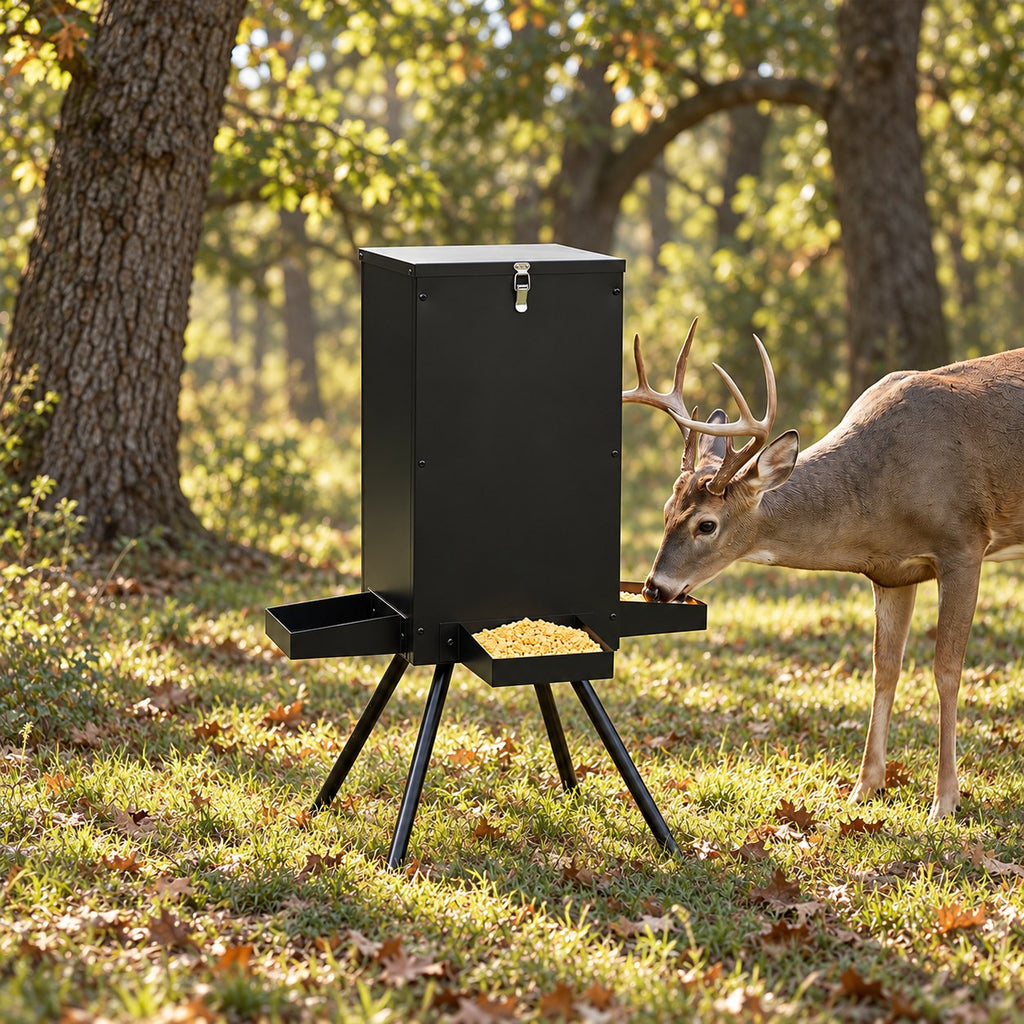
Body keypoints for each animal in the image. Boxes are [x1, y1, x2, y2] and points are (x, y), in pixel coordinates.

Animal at [624, 318, 1024, 822]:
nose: (654, 588)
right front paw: (865, 787)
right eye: (665, 511)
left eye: (707, 524)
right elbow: (884, 668)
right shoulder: (893, 573)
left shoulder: (964, 545)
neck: (883, 495)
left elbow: (946, 670)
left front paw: (945, 800)